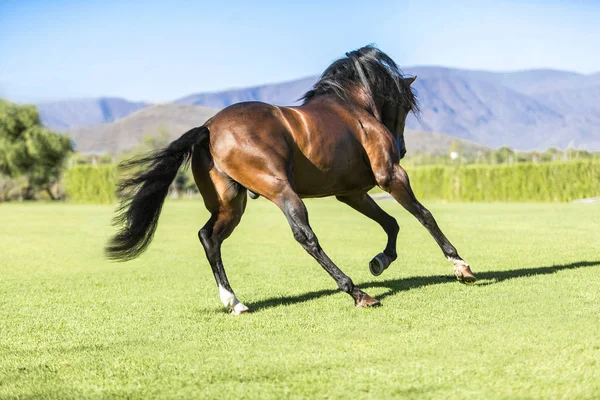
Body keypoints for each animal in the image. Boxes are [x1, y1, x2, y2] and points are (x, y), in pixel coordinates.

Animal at [105, 46, 476, 316]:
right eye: (405, 106)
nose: (402, 148)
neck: (353, 107)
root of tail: (209, 127)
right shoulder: (390, 177)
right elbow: (424, 216)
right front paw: (460, 266)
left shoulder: (352, 193)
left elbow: (392, 223)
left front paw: (380, 261)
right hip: (281, 190)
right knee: (305, 237)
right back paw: (357, 293)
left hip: (231, 204)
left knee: (209, 237)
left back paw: (234, 302)